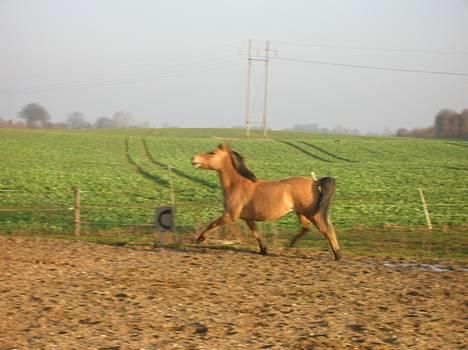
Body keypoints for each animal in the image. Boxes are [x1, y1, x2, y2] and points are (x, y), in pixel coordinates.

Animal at [192, 143, 342, 260]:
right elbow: (256, 234)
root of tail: (315, 182)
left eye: (212, 153)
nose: (193, 159)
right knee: (307, 227)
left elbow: (212, 224)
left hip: (311, 213)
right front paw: (263, 250)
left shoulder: (230, 215)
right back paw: (290, 244)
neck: (237, 185)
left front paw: (200, 239)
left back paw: (337, 255)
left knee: (327, 230)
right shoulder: (248, 219)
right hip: (301, 212)